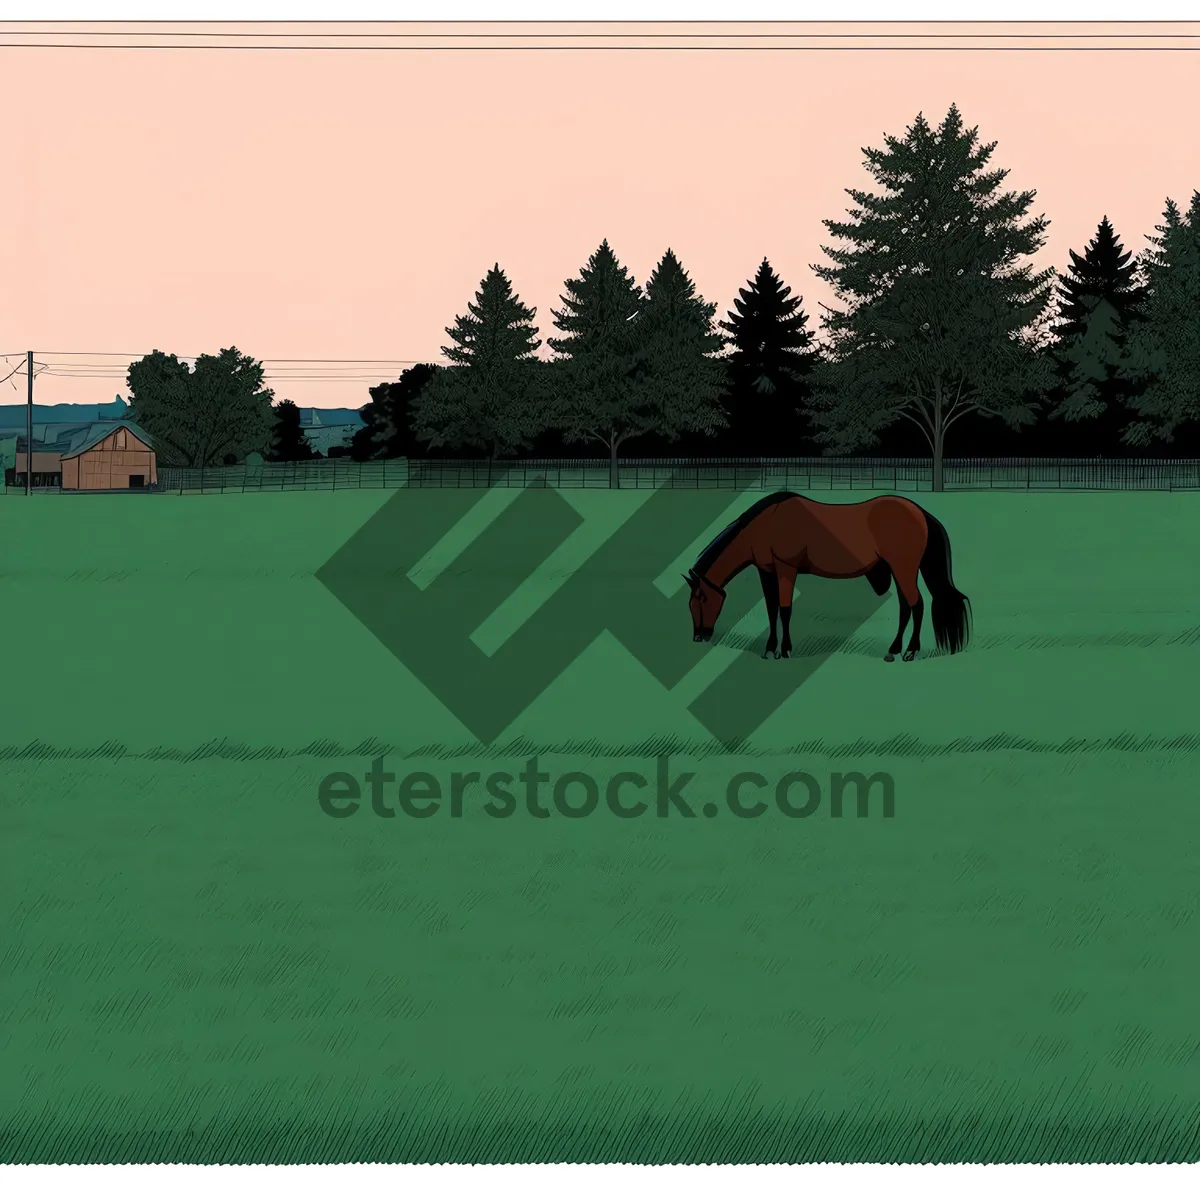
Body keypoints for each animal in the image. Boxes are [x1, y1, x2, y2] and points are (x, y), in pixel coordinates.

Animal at [686, 489, 964, 667]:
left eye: (701, 599)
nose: (698, 636)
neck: (768, 522)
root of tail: (919, 512)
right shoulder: (766, 571)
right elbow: (771, 609)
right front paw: (770, 648)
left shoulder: (786, 568)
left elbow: (784, 609)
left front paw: (785, 650)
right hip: (899, 571)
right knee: (906, 606)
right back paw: (893, 650)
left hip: (904, 569)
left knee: (917, 605)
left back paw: (909, 652)